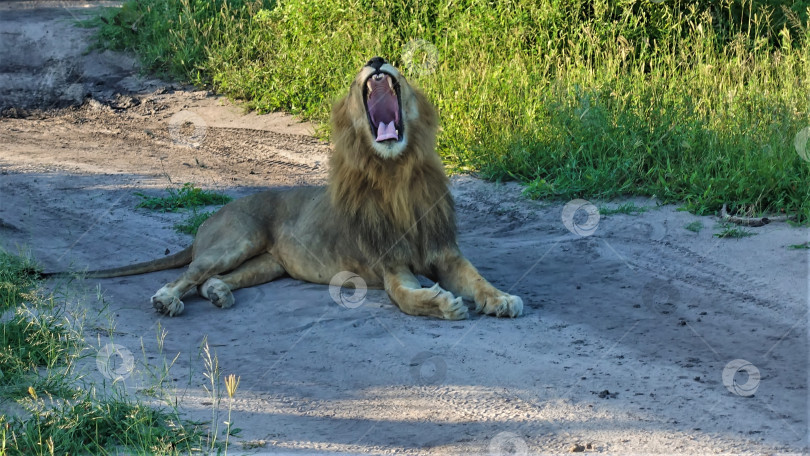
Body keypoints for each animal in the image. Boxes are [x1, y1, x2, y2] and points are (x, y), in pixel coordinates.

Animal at [50, 57, 520, 320]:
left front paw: (502, 299)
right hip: (238, 239)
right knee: (187, 276)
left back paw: (218, 294)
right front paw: (445, 305)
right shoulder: (391, 268)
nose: (377, 59)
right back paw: (167, 301)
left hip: (266, 264)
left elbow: (479, 280)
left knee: (211, 281)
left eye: (394, 66)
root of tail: (210, 219)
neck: (396, 174)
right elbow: (411, 298)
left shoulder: (446, 253)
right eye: (359, 75)